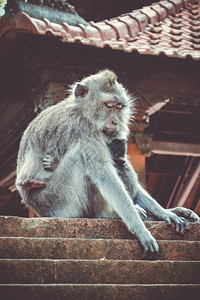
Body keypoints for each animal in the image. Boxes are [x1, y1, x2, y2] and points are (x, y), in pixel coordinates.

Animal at [16, 69, 197, 258]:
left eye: (119, 107)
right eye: (109, 105)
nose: (115, 121)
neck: (82, 111)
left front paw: (165, 212)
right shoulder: (84, 129)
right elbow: (104, 175)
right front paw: (141, 230)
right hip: (57, 201)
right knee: (82, 158)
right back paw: (109, 214)